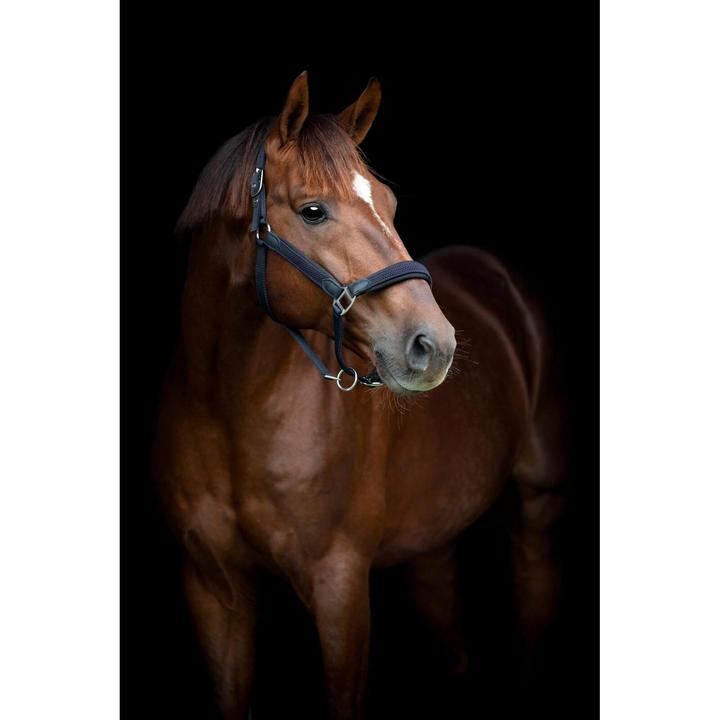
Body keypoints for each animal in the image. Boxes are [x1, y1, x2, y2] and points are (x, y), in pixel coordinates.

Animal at [152, 71, 568, 720]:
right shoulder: (212, 589)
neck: (230, 411)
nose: (434, 344)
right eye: (312, 211)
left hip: (536, 512)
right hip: (434, 537)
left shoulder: (340, 586)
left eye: (390, 205)